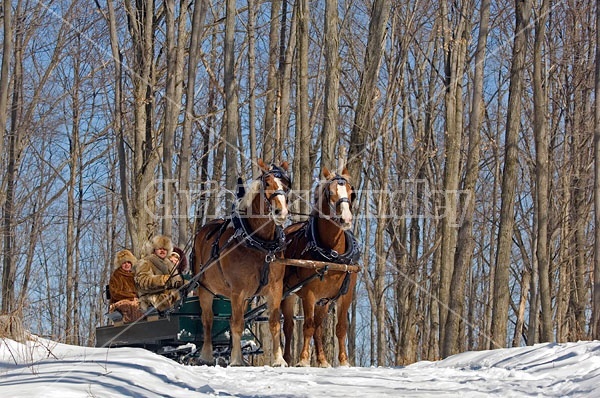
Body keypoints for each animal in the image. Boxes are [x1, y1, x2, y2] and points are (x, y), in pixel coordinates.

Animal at [193, 159, 292, 366]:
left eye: (286, 186)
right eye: (267, 183)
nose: (281, 212)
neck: (259, 244)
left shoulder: (275, 288)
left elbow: (274, 323)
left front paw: (279, 360)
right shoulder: (237, 291)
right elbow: (237, 324)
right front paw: (236, 360)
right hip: (205, 289)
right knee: (208, 320)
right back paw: (206, 355)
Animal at [280, 166, 358, 366]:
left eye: (351, 193)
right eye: (330, 192)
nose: (346, 219)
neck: (332, 255)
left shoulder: (344, 295)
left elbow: (340, 327)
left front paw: (343, 362)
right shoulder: (309, 293)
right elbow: (307, 326)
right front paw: (303, 360)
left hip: (323, 301)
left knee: (319, 327)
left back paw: (322, 360)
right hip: (287, 294)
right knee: (289, 326)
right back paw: (287, 358)